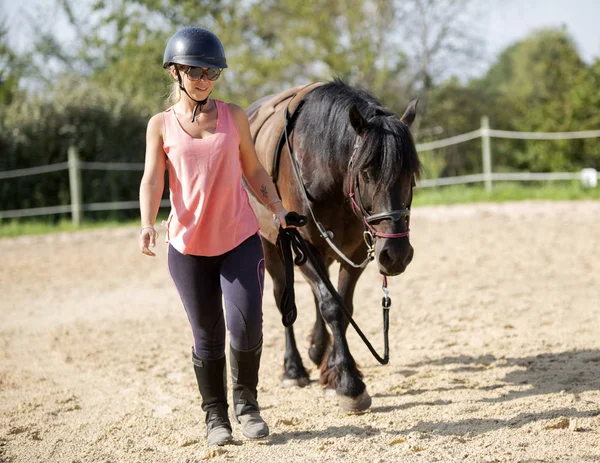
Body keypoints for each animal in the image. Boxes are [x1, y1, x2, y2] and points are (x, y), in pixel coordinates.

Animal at [246, 80, 420, 414]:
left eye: (412, 176)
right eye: (366, 173)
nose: (396, 255)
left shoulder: (355, 252)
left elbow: (342, 304)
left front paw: (334, 370)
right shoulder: (302, 249)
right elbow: (331, 306)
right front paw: (349, 383)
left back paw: (318, 350)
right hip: (271, 247)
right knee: (283, 297)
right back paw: (294, 369)